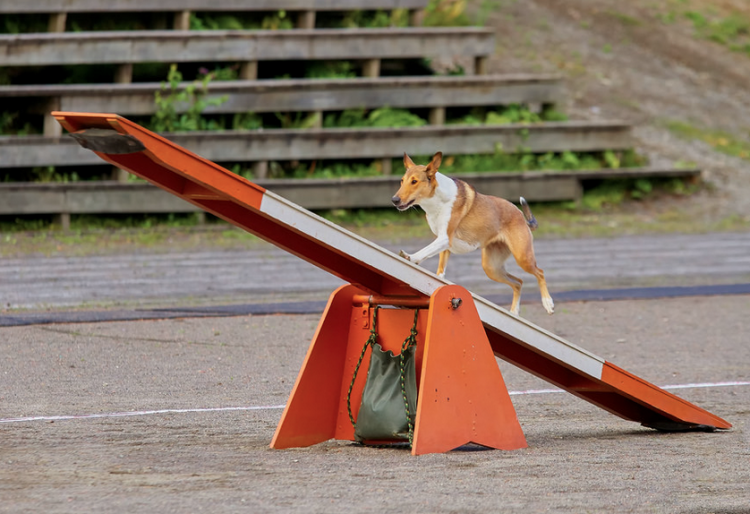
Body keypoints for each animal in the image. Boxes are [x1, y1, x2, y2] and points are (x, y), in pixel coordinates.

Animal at [390, 150, 556, 314]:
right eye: (402, 181)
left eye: (414, 181)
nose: (394, 200)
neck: (436, 200)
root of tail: (521, 216)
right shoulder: (443, 242)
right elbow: (440, 269)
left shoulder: (445, 238)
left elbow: (424, 251)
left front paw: (410, 257)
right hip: (491, 267)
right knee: (518, 282)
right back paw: (514, 312)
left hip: (522, 257)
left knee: (540, 272)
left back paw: (547, 303)